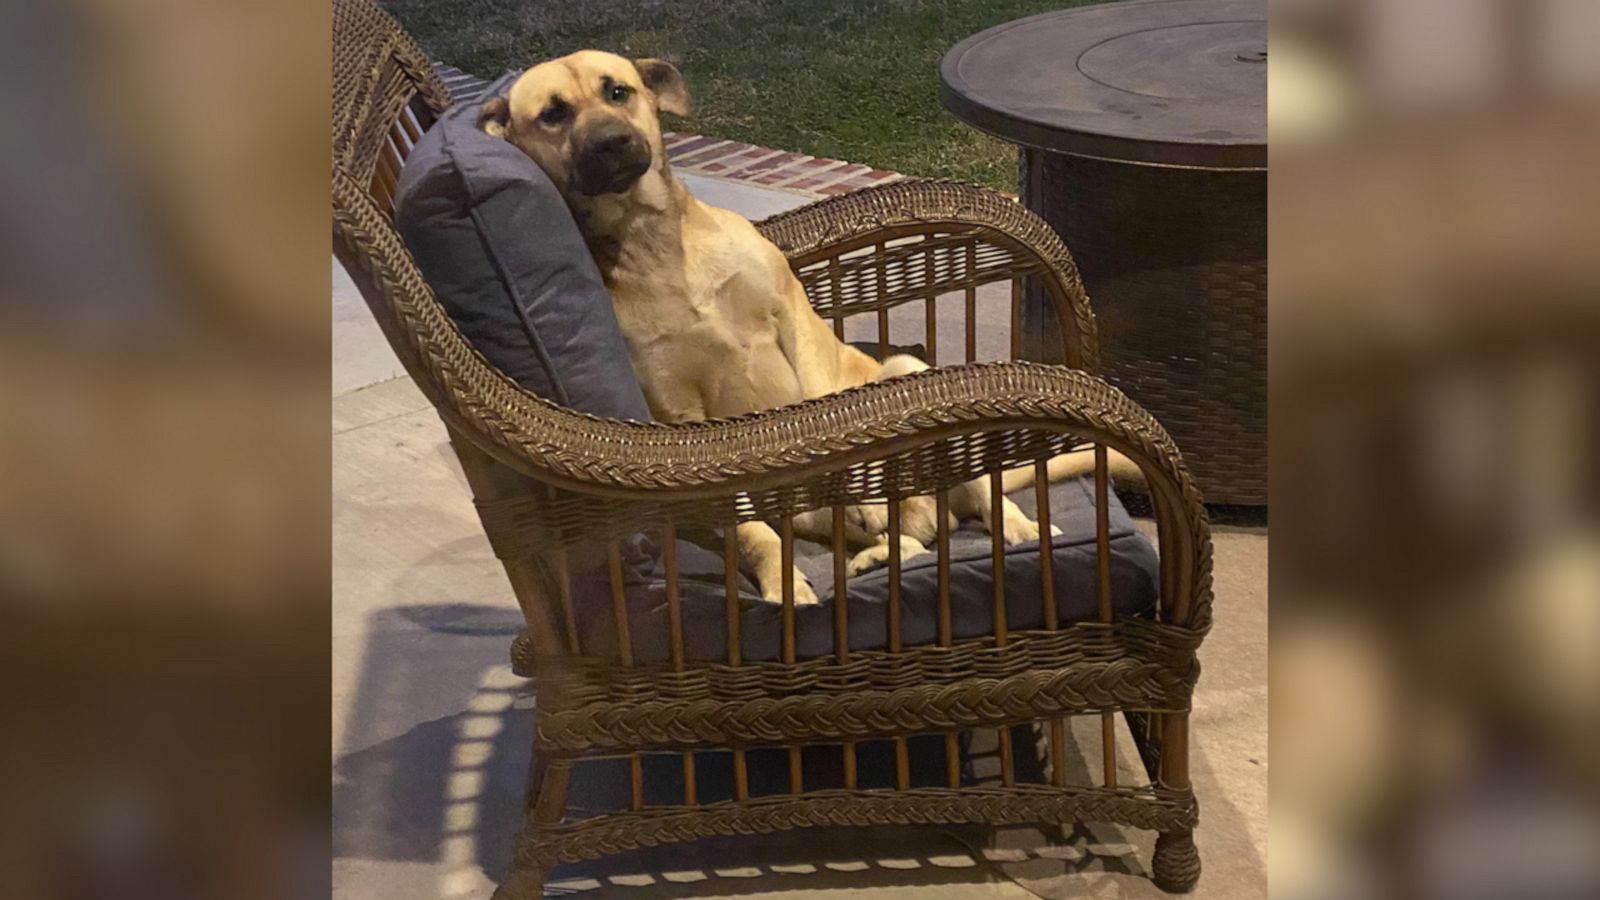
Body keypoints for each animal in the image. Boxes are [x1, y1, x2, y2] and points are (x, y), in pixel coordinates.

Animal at [476, 47, 1139, 595]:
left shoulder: (790, 321)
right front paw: (783, 584)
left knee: (986, 497)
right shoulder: (676, 416)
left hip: (906, 369)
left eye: (617, 91)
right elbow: (751, 533)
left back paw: (1019, 530)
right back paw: (876, 553)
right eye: (553, 114)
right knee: (905, 540)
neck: (654, 246)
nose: (613, 142)